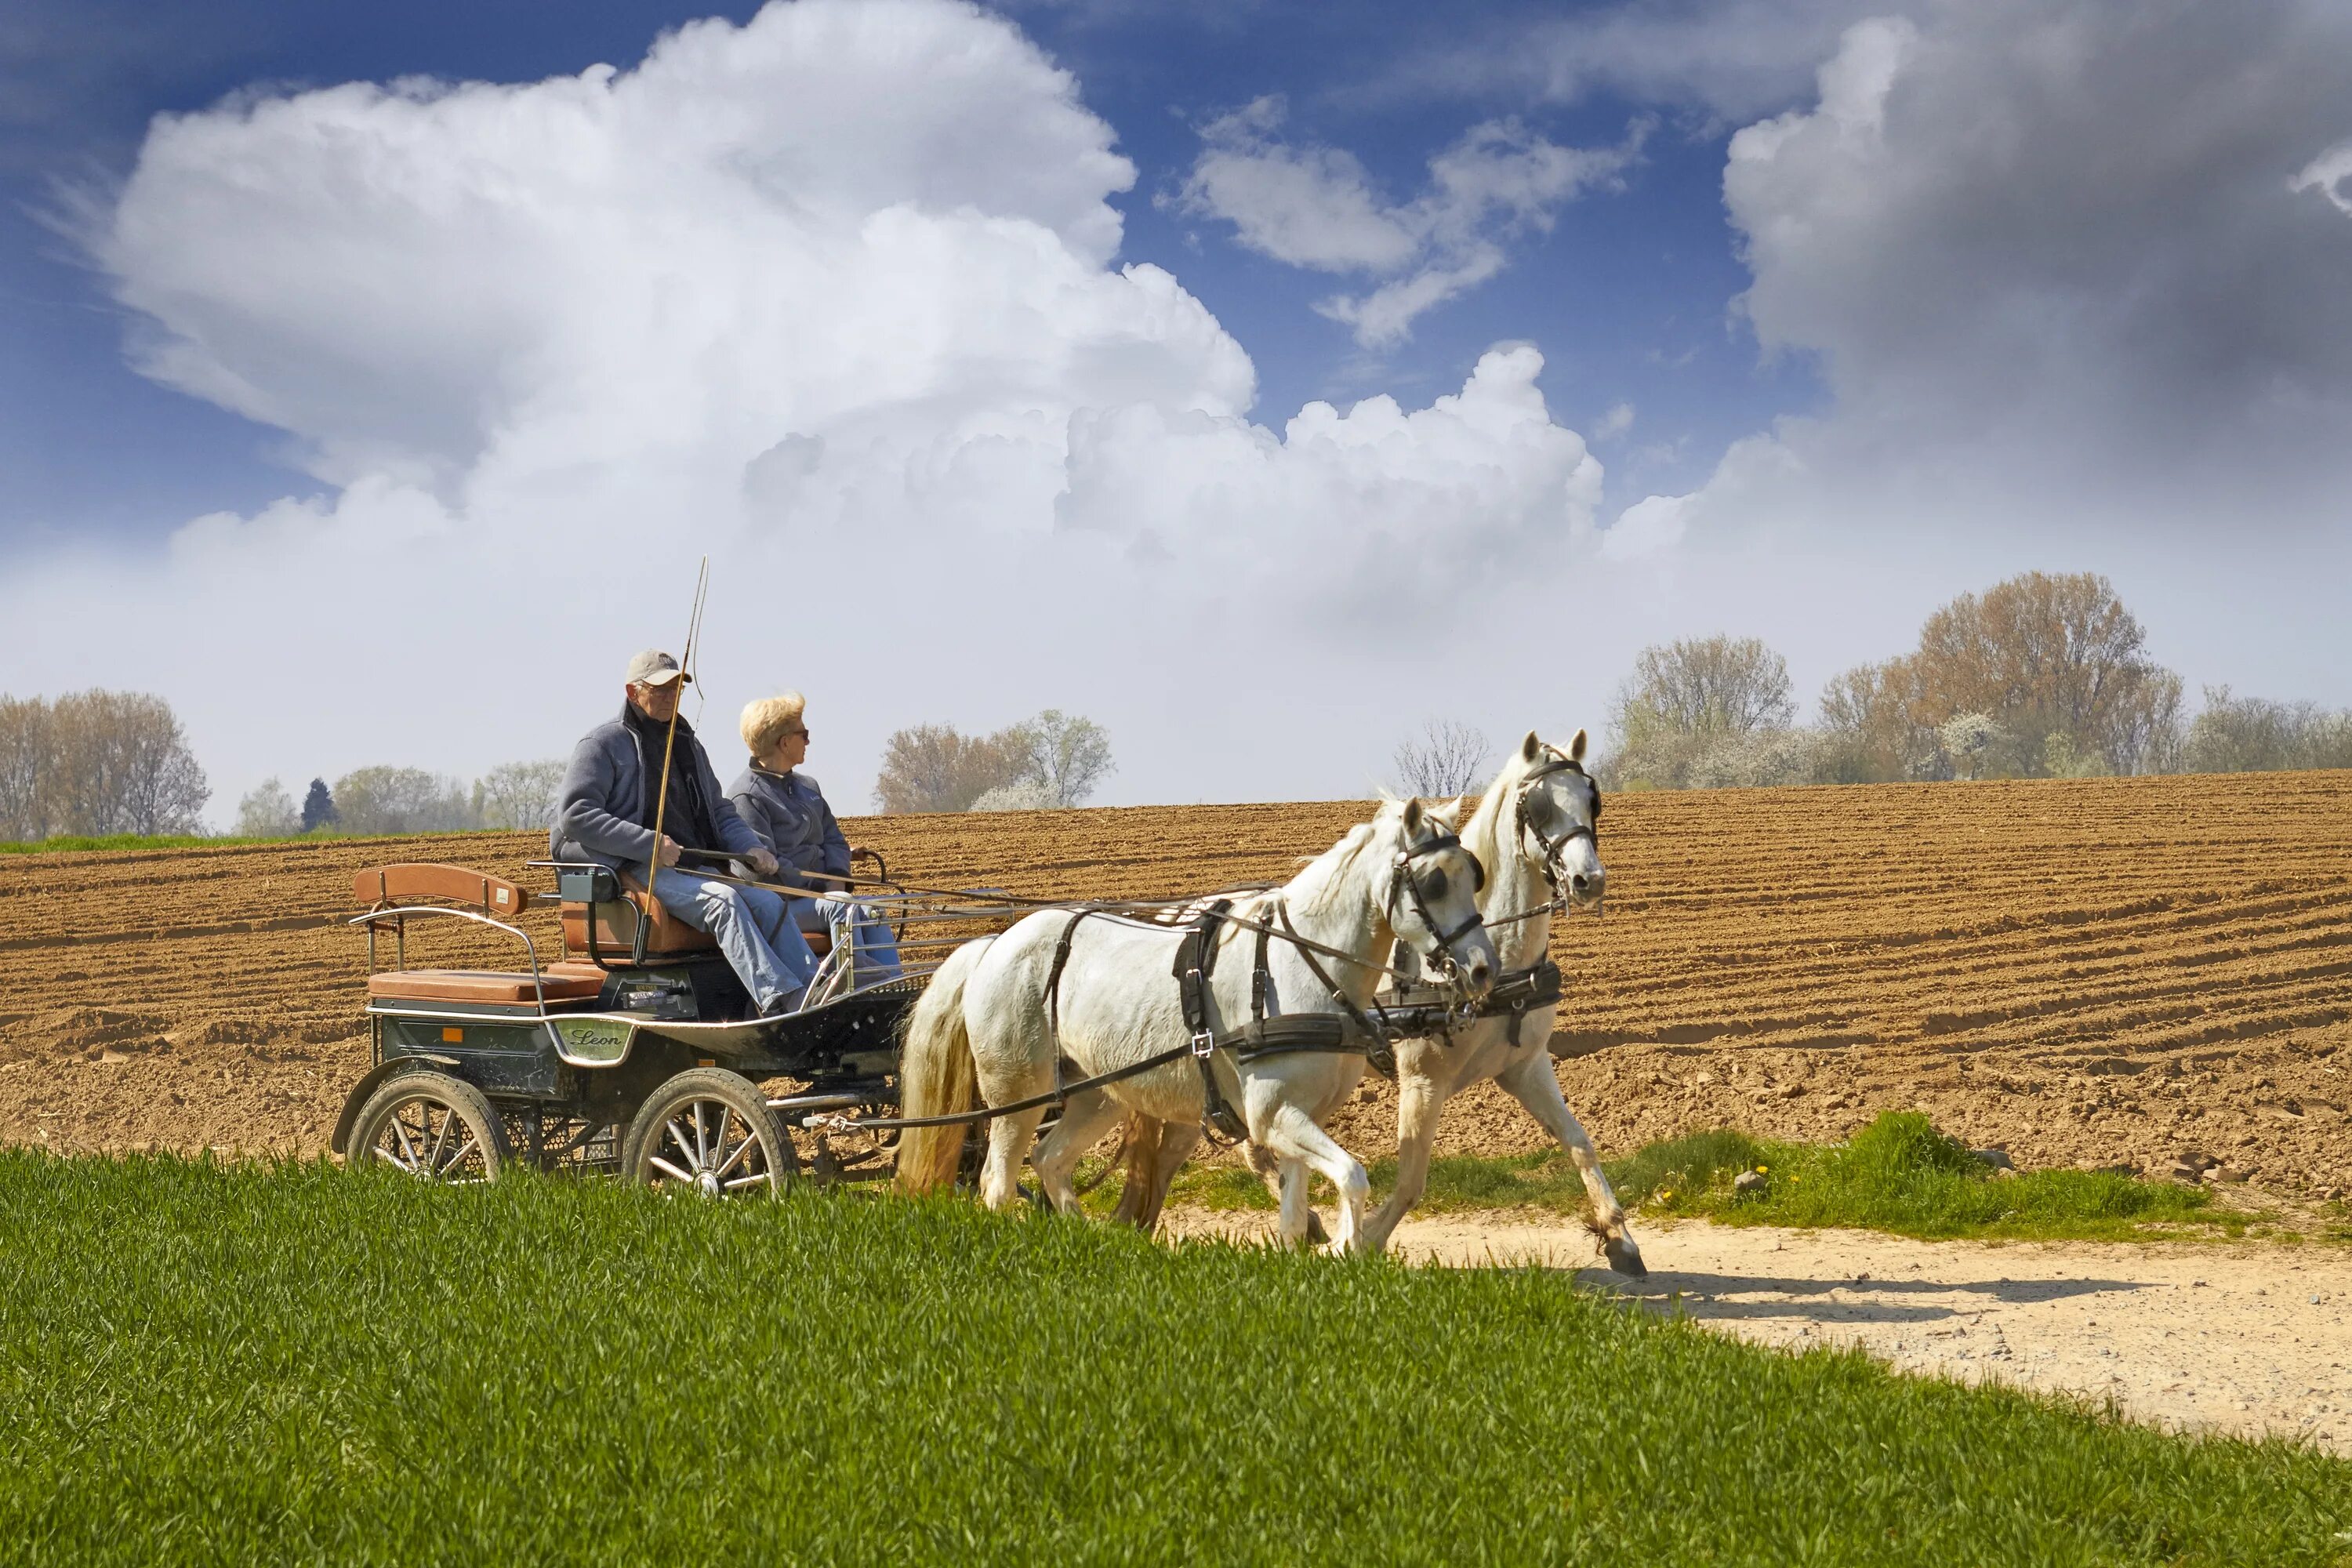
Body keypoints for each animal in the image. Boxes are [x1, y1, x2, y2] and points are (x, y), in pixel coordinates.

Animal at [889, 804, 1496, 1260]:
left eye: (1475, 874)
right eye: (1433, 882)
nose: (1482, 969)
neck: (1298, 965)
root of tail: (993, 944)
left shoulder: (1299, 1119)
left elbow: (1294, 1215)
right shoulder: (1272, 1115)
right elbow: (1353, 1176)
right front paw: (1347, 1249)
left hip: (1095, 1096)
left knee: (1050, 1161)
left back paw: (1094, 1241)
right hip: (1017, 1095)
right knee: (998, 1181)